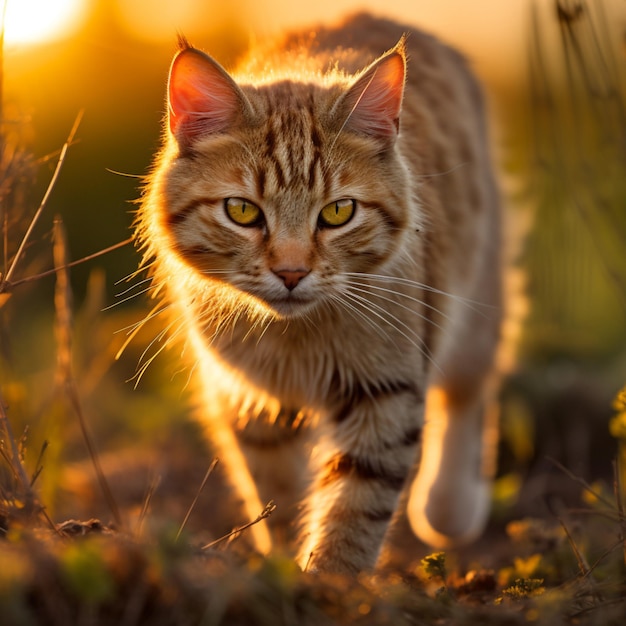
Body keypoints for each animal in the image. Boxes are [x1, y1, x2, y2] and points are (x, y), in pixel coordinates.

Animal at [135, 12, 502, 572]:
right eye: (242, 211)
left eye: (338, 212)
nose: (291, 272)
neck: (297, 341)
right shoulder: (250, 399)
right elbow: (276, 496)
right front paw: (283, 570)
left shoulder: (385, 391)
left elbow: (355, 509)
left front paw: (331, 579)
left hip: (477, 297)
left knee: (468, 392)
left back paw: (449, 506)